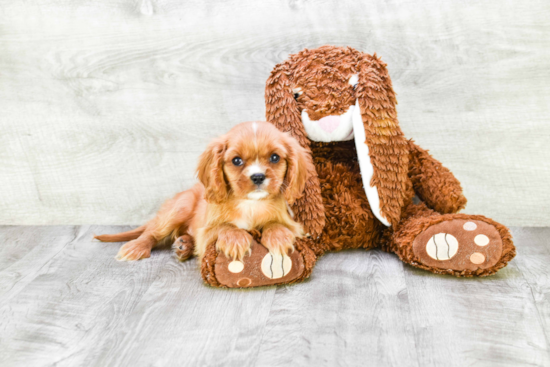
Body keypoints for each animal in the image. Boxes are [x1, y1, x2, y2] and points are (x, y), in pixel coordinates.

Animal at [96, 122, 314, 264]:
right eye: (236, 160)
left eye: (275, 157)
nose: (258, 177)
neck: (250, 204)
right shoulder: (206, 232)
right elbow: (225, 227)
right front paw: (236, 239)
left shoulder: (294, 226)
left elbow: (275, 224)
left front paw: (279, 237)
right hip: (179, 208)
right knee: (151, 232)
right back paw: (137, 247)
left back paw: (184, 245)